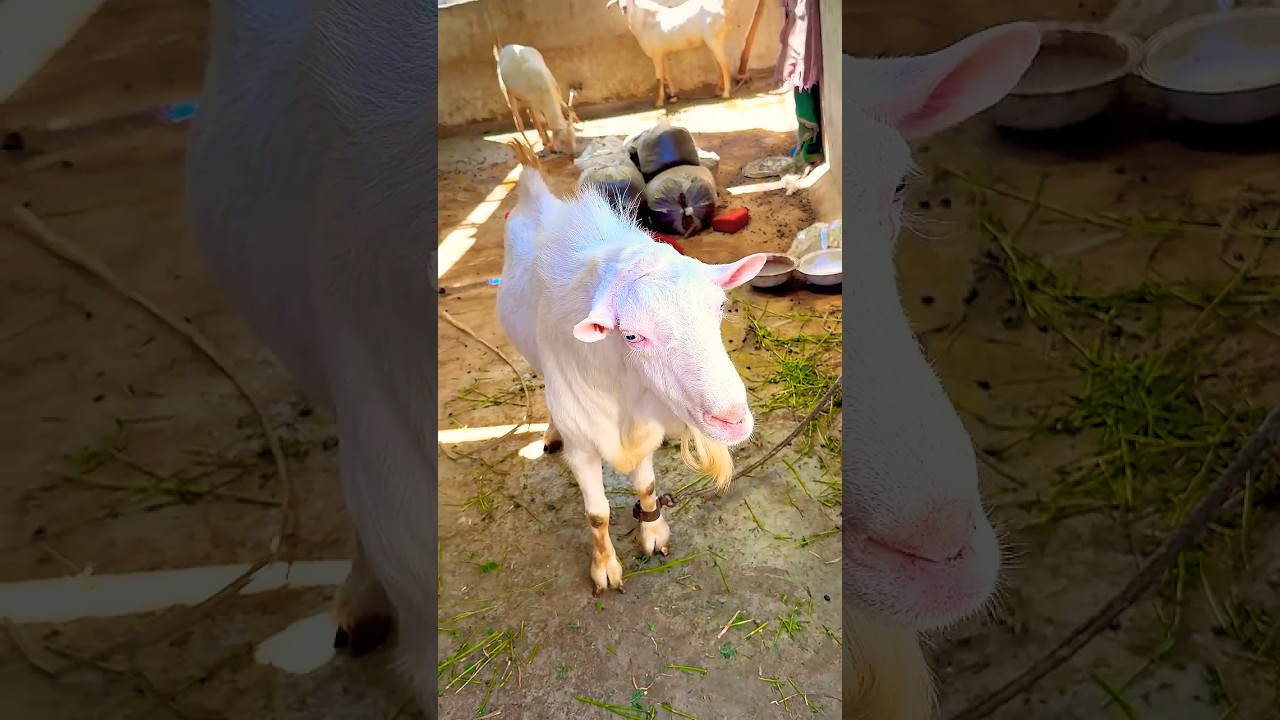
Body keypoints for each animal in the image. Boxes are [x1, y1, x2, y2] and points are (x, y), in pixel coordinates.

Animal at [498, 137, 766, 595]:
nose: (732, 419)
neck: (623, 390)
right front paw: (605, 568)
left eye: (720, 307)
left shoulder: (646, 428)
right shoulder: (584, 444)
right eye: (631, 336)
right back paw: (550, 435)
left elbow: (647, 484)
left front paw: (653, 533)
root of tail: (533, 181)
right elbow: (597, 514)